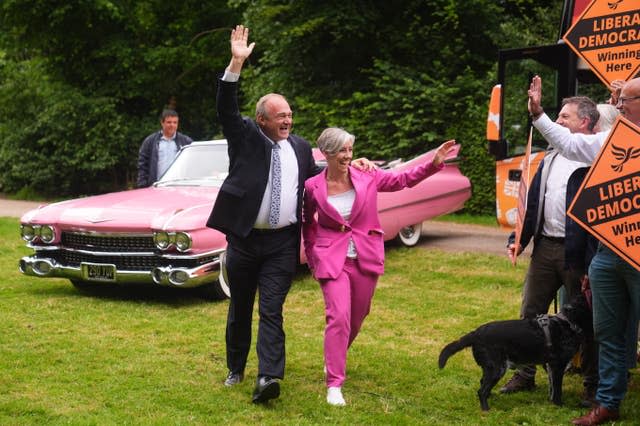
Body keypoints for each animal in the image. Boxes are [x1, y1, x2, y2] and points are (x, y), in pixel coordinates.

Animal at [438, 294, 592, 412]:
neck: (567, 322)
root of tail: (476, 333)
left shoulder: (550, 366)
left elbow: (552, 388)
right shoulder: (557, 365)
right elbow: (557, 390)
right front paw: (559, 406)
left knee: (482, 385)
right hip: (497, 368)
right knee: (481, 391)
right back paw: (486, 410)